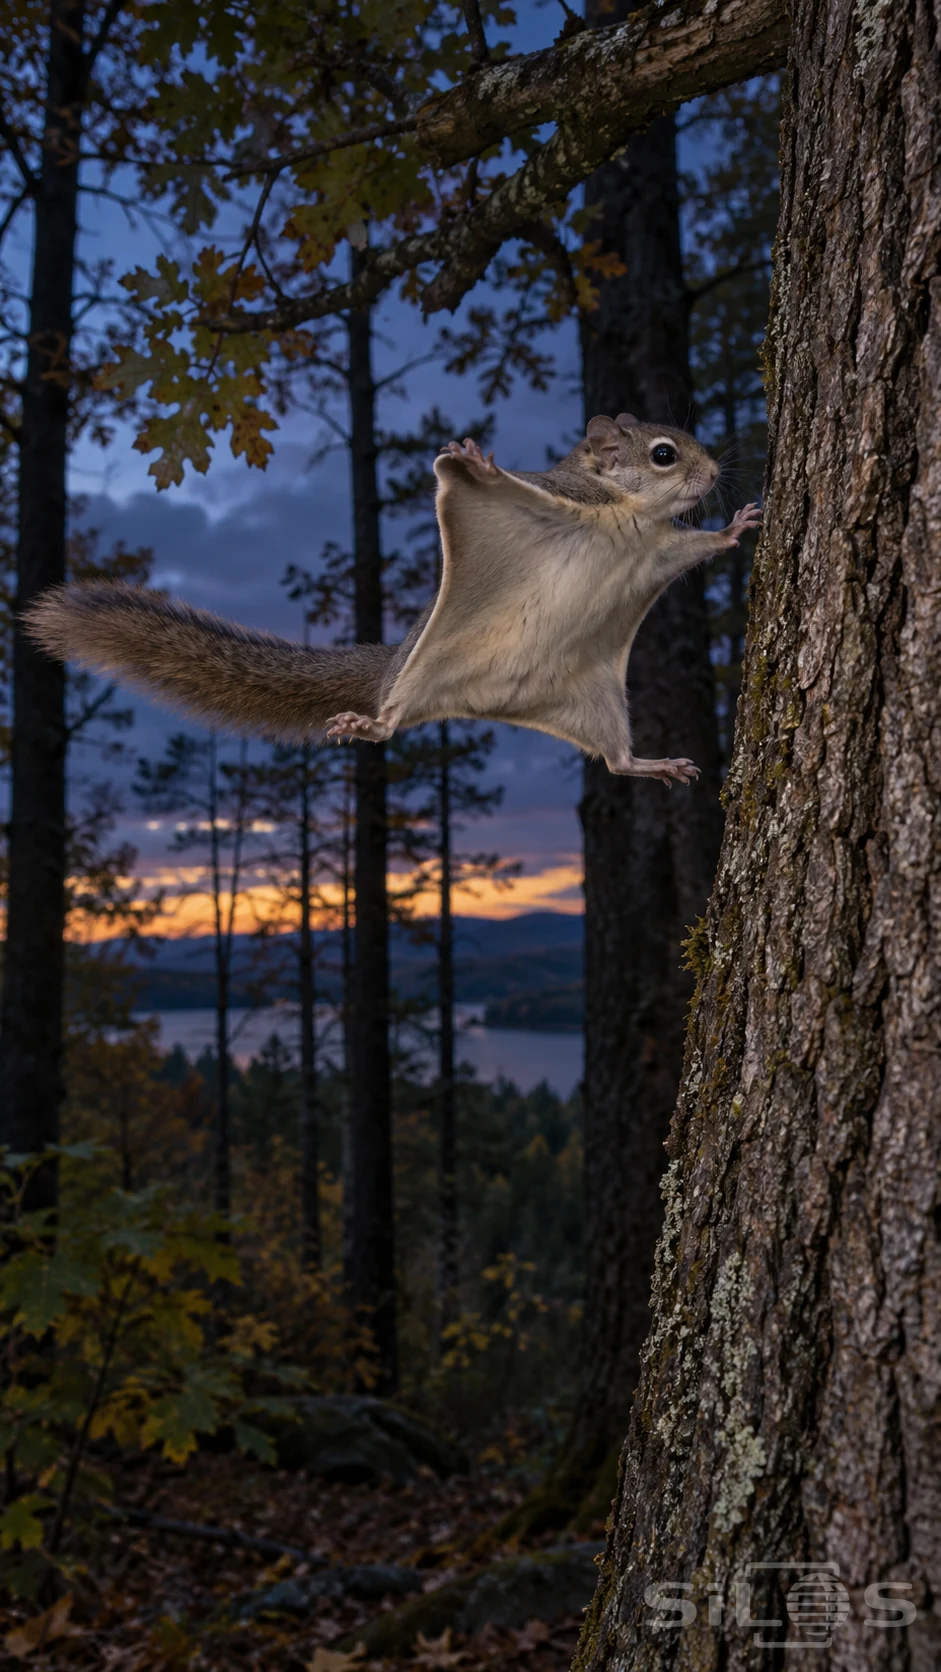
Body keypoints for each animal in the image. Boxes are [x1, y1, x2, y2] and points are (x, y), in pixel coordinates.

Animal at [27, 414, 759, 785]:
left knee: (614, 760)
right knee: (392, 721)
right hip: (419, 676)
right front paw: (477, 460)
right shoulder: (567, 498)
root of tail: (494, 704)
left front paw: (734, 528)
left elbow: (695, 548)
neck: (623, 513)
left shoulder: (656, 553)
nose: (714, 471)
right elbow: (499, 479)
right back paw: (366, 723)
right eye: (664, 454)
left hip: (595, 698)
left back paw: (650, 762)